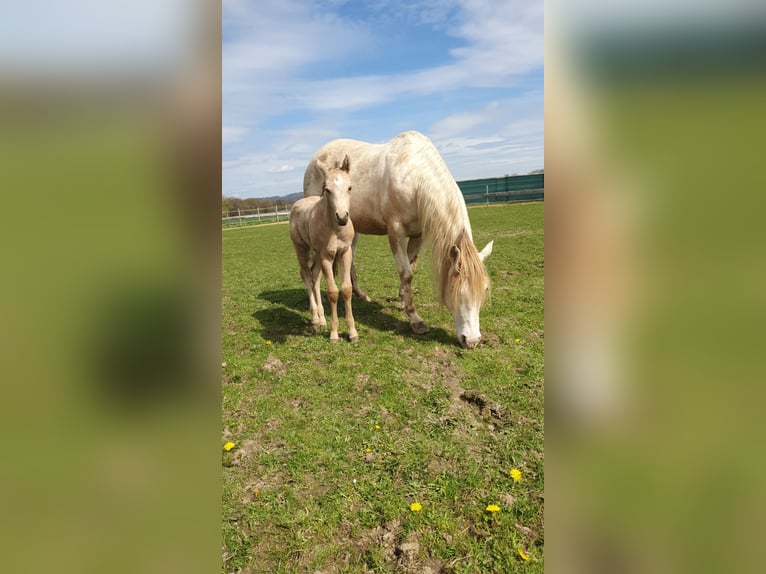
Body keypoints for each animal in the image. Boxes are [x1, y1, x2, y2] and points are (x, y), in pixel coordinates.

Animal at [290, 155, 358, 343]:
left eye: (350, 187)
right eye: (327, 190)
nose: (342, 217)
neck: (336, 230)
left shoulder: (345, 252)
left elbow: (347, 289)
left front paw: (352, 332)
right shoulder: (327, 256)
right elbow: (333, 292)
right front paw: (334, 334)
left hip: (316, 254)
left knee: (315, 278)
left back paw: (321, 320)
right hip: (302, 249)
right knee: (306, 276)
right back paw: (314, 318)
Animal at [303, 131, 494, 349]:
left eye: (484, 289)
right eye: (458, 292)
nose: (472, 341)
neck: (413, 177)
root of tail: (315, 160)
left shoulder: (417, 235)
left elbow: (411, 268)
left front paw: (402, 301)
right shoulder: (395, 233)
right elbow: (406, 272)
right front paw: (415, 320)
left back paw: (360, 295)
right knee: (312, 273)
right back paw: (318, 317)